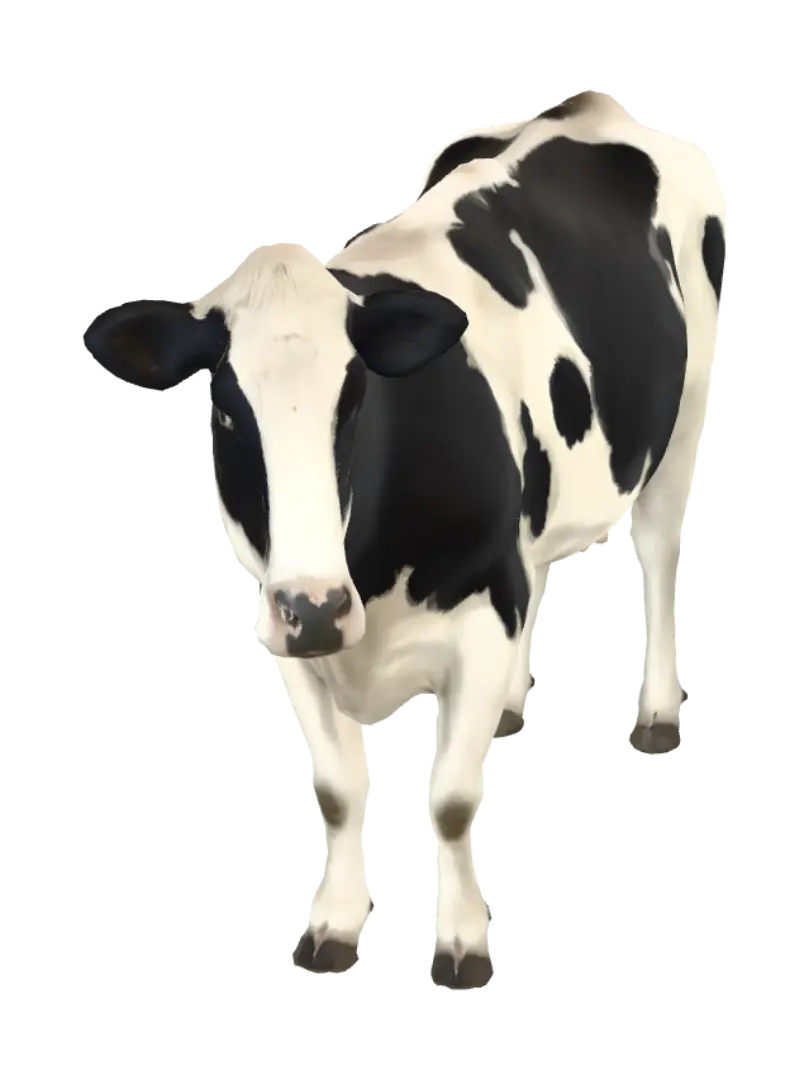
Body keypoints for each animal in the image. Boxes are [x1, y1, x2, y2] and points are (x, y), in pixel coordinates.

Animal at [80, 90, 727, 990]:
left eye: (355, 398)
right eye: (225, 408)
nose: (318, 608)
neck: (368, 575)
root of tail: (590, 106)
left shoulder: (482, 606)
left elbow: (450, 801)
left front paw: (462, 944)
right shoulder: (285, 630)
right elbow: (338, 791)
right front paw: (332, 928)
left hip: (685, 410)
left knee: (660, 551)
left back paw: (656, 714)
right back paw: (509, 709)